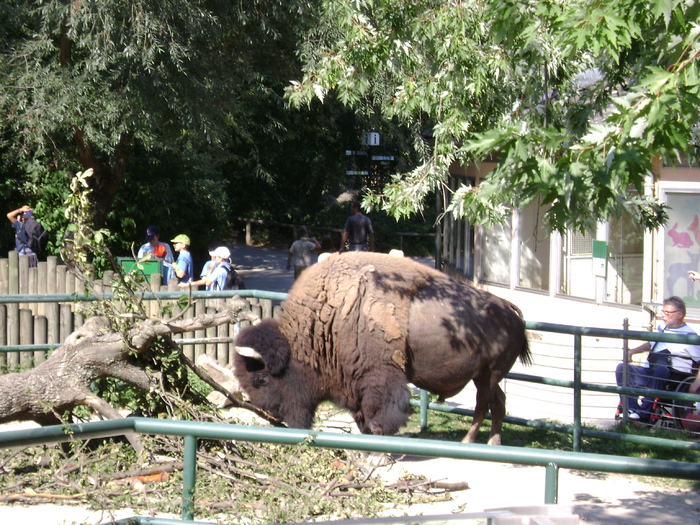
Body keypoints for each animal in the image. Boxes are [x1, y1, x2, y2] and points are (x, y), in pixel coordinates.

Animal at [231, 250, 532, 442]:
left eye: (261, 378)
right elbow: (362, 417)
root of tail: (512, 311)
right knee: (498, 403)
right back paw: (492, 443)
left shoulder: (380, 378)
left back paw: (470, 442)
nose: (275, 416)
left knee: (483, 404)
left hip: (489, 374)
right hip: (484, 376)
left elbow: (379, 416)